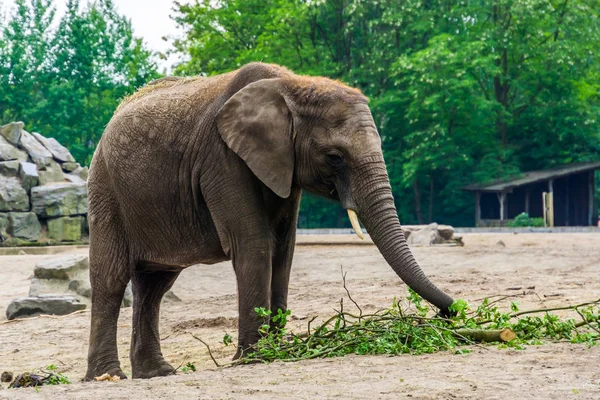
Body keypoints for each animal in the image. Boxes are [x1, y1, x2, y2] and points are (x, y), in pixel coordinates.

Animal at [83, 62, 450, 382]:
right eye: (334, 157)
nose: (450, 312)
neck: (292, 85)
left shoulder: (284, 168)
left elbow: (283, 252)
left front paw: (277, 352)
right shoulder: (222, 158)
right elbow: (255, 245)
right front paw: (255, 358)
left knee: (154, 286)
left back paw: (157, 373)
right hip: (105, 188)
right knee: (112, 278)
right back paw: (108, 376)